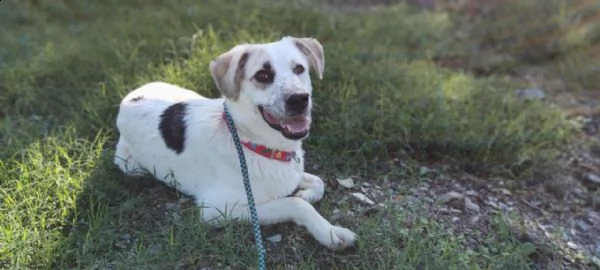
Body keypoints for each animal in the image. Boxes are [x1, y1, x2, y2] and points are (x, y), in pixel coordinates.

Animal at [113, 37, 356, 250]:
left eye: (299, 69)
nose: (299, 99)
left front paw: (306, 193)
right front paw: (331, 233)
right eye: (263, 75)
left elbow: (317, 182)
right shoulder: (216, 209)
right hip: (131, 166)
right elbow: (295, 204)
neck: (253, 143)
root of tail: (131, 95)